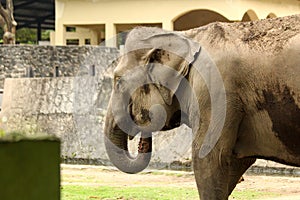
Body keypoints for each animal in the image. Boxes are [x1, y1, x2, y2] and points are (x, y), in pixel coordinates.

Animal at [103, 14, 300, 200]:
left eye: (118, 81)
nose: (143, 138)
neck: (187, 35)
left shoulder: (214, 92)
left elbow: (208, 158)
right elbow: (235, 163)